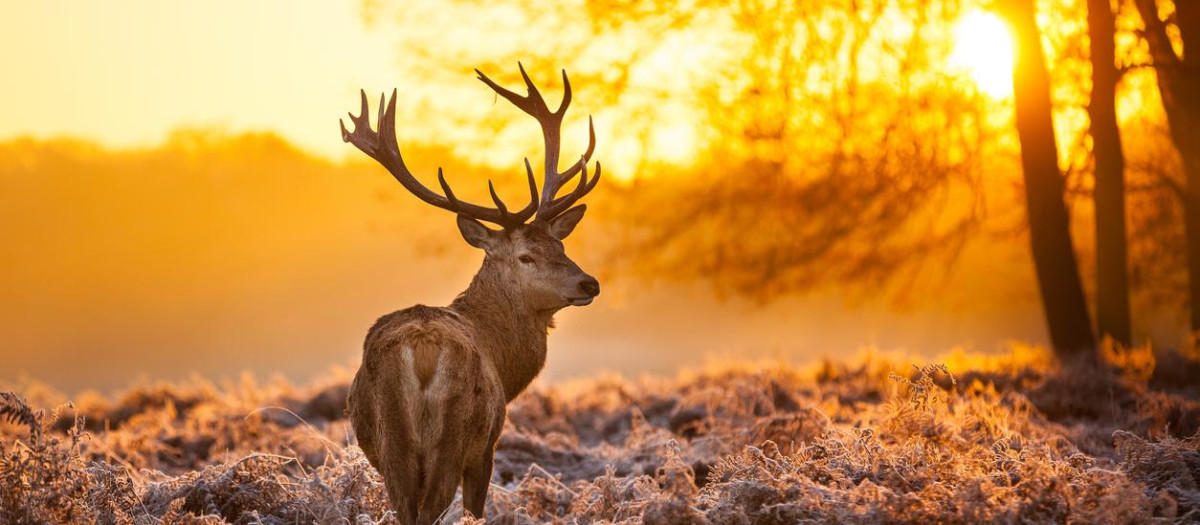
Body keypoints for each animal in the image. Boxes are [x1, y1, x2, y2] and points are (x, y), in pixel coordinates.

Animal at [340, 64, 601, 525]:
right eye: (526, 256)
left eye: (561, 246)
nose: (589, 283)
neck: (503, 359)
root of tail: (422, 350)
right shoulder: (487, 446)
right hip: (455, 434)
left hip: (392, 443)